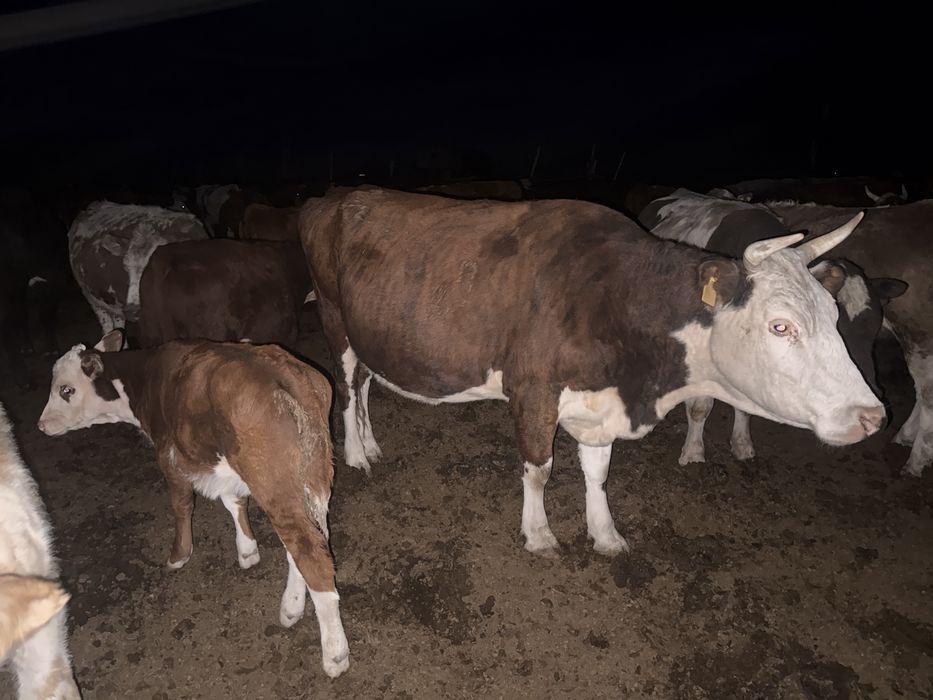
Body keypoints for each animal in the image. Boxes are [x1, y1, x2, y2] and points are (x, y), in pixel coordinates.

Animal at [37, 332, 350, 677]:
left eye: (66, 389)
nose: (41, 425)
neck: (143, 378)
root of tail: (285, 374)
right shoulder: (219, 460)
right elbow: (233, 500)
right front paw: (247, 550)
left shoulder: (168, 455)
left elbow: (182, 504)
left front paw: (179, 554)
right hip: (310, 476)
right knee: (312, 541)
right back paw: (291, 606)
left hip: (274, 481)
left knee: (309, 552)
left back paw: (335, 654)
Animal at [640, 189, 907, 463]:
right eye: (841, 324)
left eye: (874, 327)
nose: (875, 418)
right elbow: (700, 407)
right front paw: (693, 452)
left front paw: (742, 443)